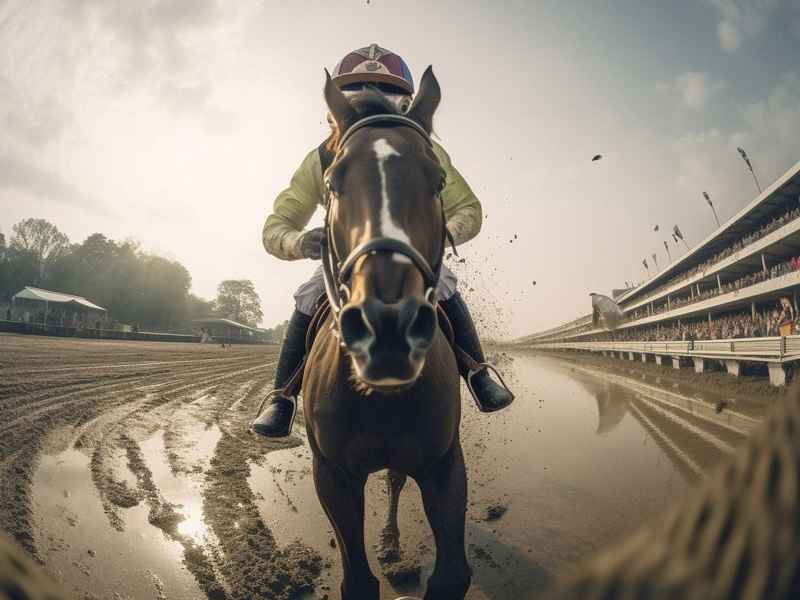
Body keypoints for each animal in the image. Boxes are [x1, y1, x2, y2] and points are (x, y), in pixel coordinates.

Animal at [301, 67, 471, 600]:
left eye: (437, 179)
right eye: (333, 181)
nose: (389, 325)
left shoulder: (443, 464)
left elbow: (453, 574)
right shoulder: (332, 475)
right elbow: (356, 579)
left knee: (395, 480)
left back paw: (393, 542)